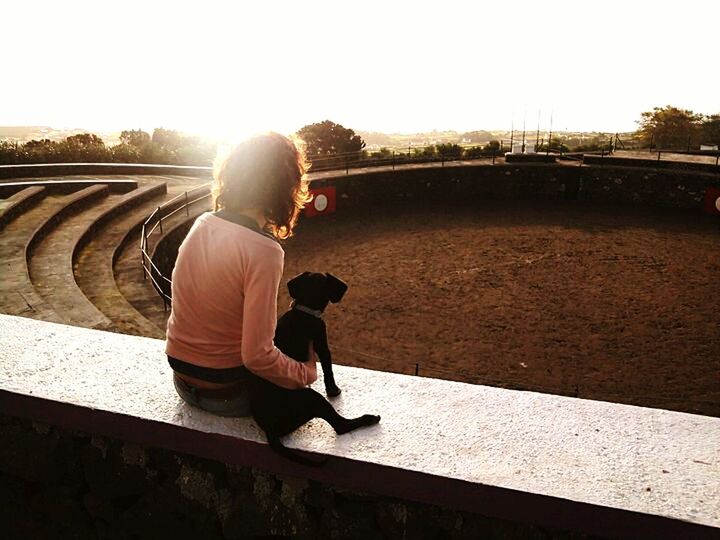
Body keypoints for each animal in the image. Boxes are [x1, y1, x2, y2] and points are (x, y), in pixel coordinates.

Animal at [246, 272, 382, 466]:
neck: (304, 309)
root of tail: (270, 431)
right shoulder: (321, 342)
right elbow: (328, 368)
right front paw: (334, 390)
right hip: (313, 398)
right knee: (341, 426)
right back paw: (369, 418)